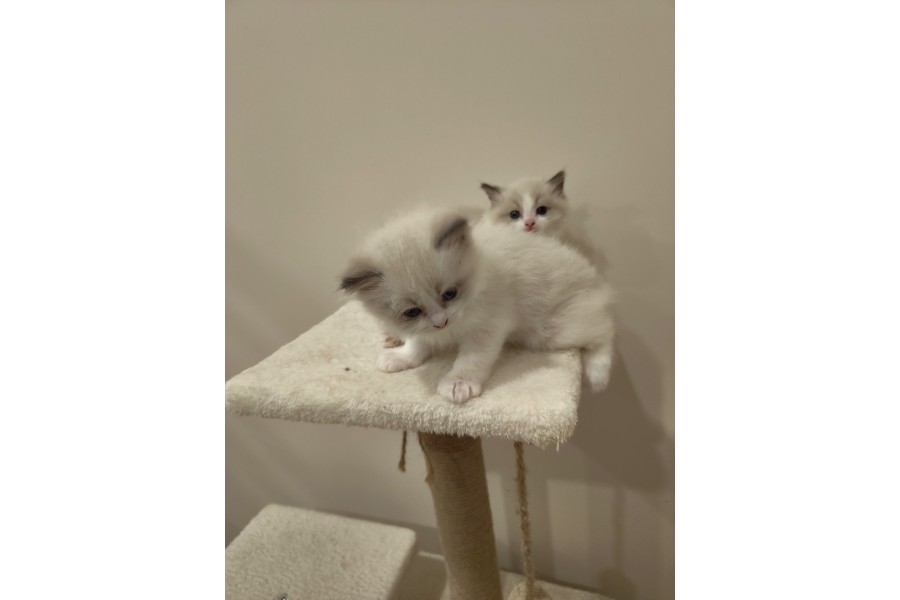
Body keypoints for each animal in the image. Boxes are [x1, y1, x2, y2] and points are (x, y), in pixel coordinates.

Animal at [341, 207, 615, 403]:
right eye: (412, 312)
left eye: (450, 293)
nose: (441, 322)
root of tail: (596, 278)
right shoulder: (422, 327)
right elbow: (418, 342)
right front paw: (402, 357)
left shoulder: (488, 326)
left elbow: (472, 359)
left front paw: (458, 384)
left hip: (555, 331)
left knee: (605, 331)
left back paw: (598, 375)